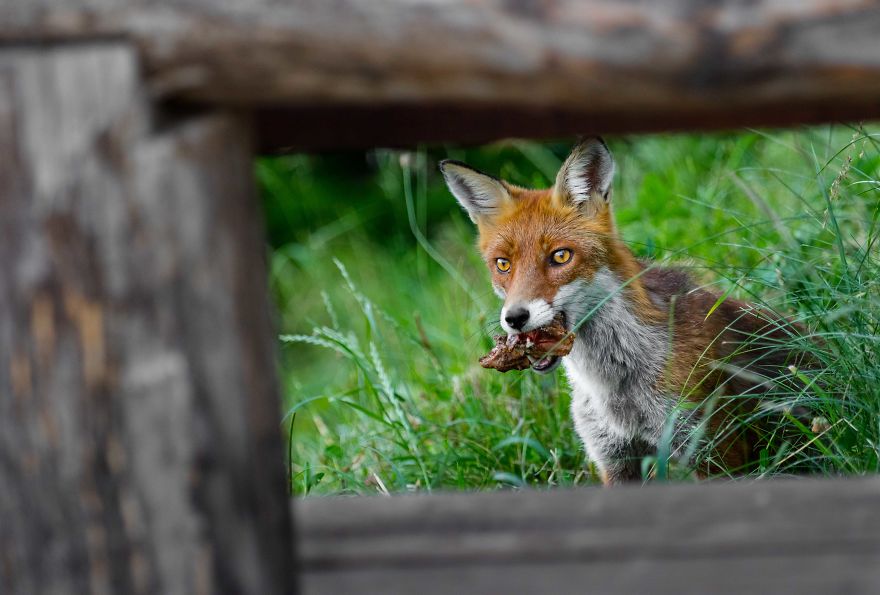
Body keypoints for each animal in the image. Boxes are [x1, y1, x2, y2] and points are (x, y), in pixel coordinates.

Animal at [440, 138, 806, 485]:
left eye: (560, 256)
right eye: (502, 264)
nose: (515, 318)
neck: (616, 390)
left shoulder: (711, 450)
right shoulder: (614, 458)